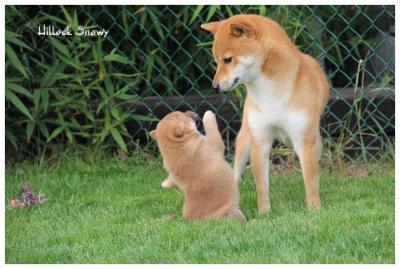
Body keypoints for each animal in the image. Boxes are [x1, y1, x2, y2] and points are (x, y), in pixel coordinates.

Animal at [202, 14, 330, 213]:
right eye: (216, 61)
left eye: (228, 60)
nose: (214, 87)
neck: (271, 93)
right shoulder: (259, 140)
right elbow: (261, 186)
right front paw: (264, 213)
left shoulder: (304, 141)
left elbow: (310, 182)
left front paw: (314, 210)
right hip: (245, 141)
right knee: (235, 174)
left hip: (315, 143)